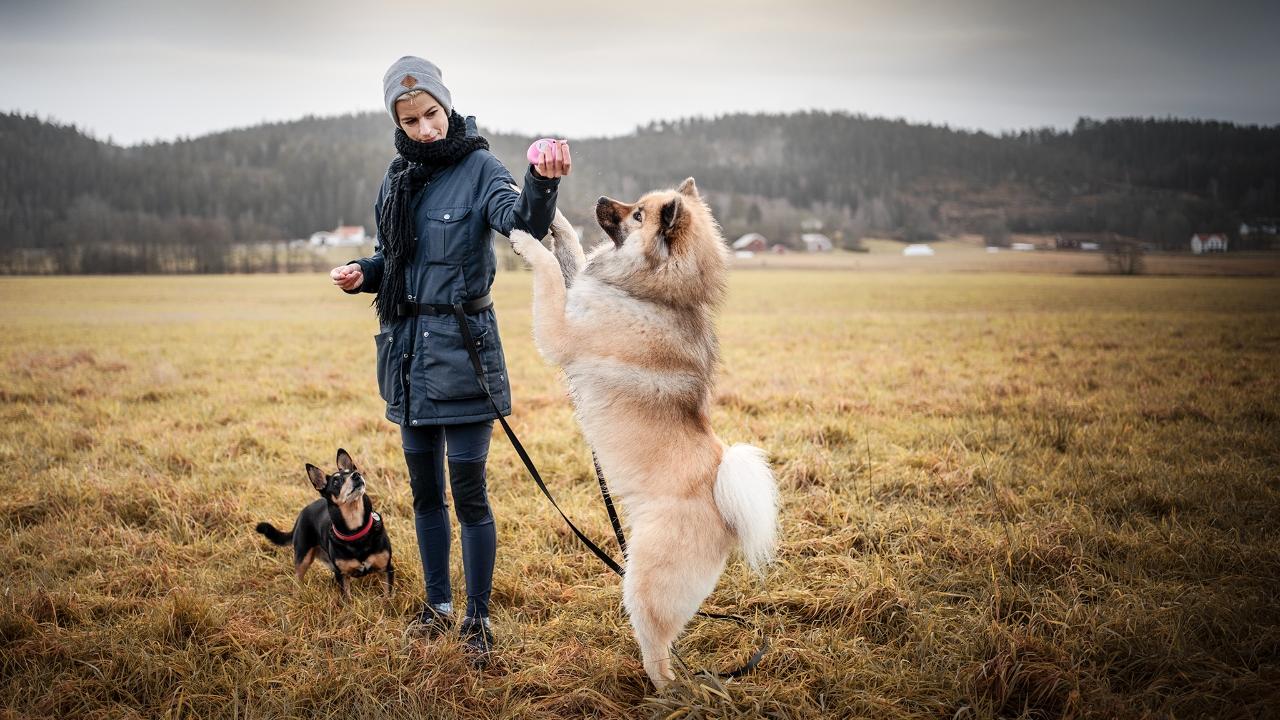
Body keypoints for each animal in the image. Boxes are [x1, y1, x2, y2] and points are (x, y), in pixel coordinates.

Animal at [255, 448, 394, 600]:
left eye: (352, 471)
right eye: (336, 481)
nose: (357, 475)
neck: (356, 529)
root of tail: (302, 514)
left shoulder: (386, 569)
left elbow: (388, 598)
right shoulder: (342, 576)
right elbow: (347, 600)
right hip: (303, 557)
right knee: (297, 579)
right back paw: (298, 596)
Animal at [509, 178, 779, 689]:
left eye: (637, 216)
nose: (599, 200)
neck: (653, 294)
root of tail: (724, 506)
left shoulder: (560, 332)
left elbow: (551, 273)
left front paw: (527, 243)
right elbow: (569, 254)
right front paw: (554, 219)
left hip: (642, 581)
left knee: (659, 652)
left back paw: (658, 688)